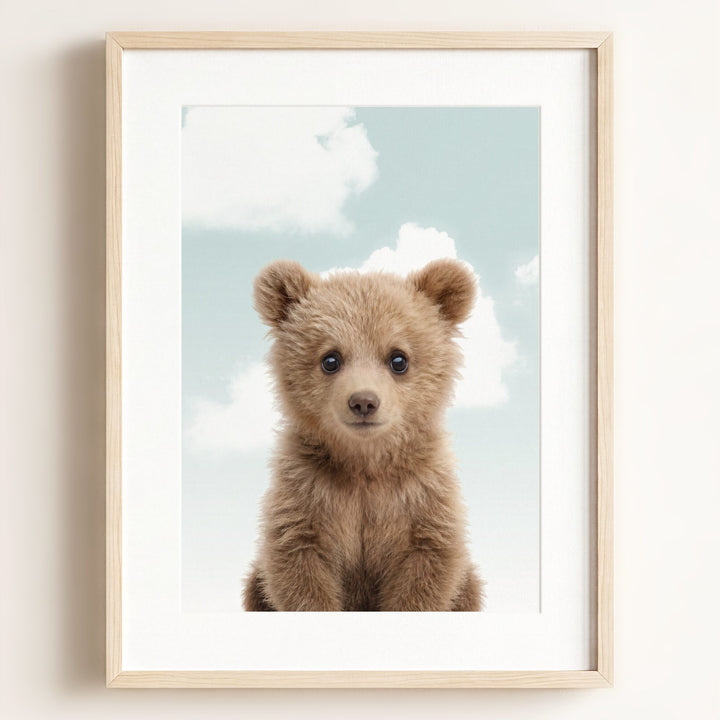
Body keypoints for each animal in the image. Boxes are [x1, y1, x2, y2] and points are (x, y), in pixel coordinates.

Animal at [243, 257, 484, 611]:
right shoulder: (306, 493)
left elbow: (426, 570)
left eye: (399, 359)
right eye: (330, 359)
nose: (363, 401)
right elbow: (299, 567)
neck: (364, 463)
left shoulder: (422, 498)